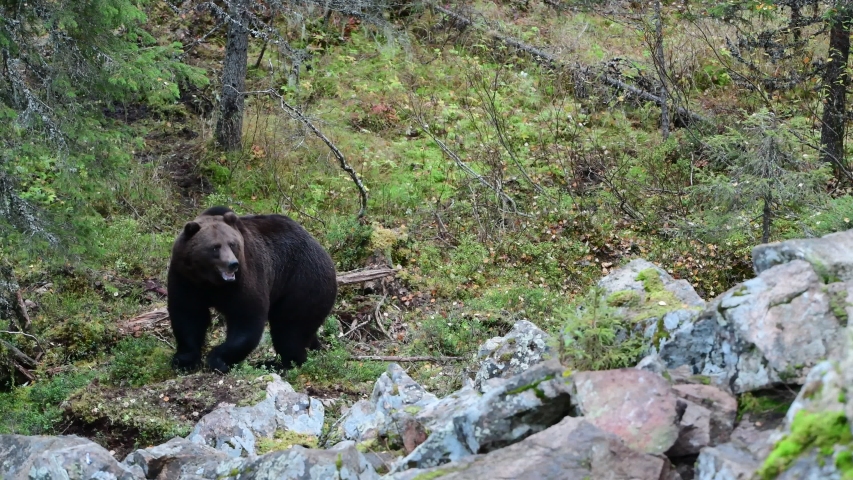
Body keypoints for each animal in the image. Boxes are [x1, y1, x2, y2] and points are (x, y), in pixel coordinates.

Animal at [166, 205, 337, 373]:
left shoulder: (244, 277)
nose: (232, 264)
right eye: (215, 247)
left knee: (290, 329)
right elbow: (188, 314)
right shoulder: (185, 278)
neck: (211, 282)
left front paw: (218, 359)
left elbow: (247, 318)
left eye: (232, 244)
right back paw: (314, 348)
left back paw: (280, 363)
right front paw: (184, 361)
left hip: (302, 283)